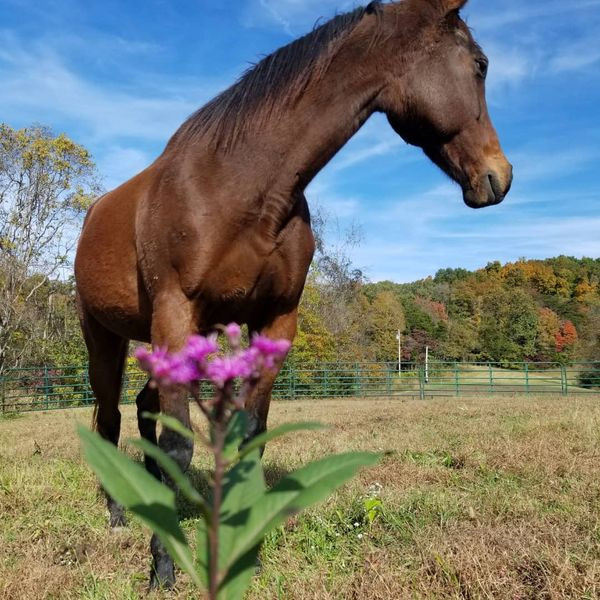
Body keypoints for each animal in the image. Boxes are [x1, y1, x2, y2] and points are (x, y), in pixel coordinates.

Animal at [75, 0, 512, 592]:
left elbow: (249, 435)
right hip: (105, 338)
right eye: (480, 64)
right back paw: (120, 516)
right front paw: (162, 569)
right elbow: (178, 444)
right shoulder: (174, 311)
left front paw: (246, 551)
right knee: (109, 419)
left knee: (142, 408)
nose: (500, 176)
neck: (237, 184)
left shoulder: (274, 321)